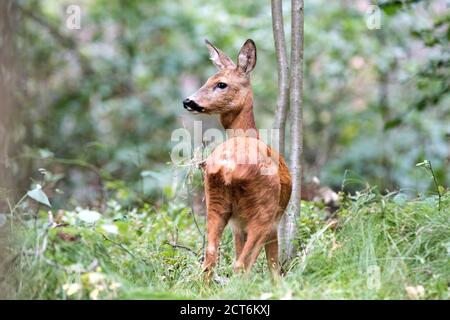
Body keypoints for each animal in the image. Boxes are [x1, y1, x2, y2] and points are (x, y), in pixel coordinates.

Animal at [182, 39, 292, 276]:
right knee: (242, 265)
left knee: (210, 258)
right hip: (263, 212)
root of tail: (228, 167)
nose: (188, 101)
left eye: (220, 84)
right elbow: (273, 267)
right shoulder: (272, 223)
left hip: (215, 204)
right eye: (208, 80)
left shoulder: (236, 225)